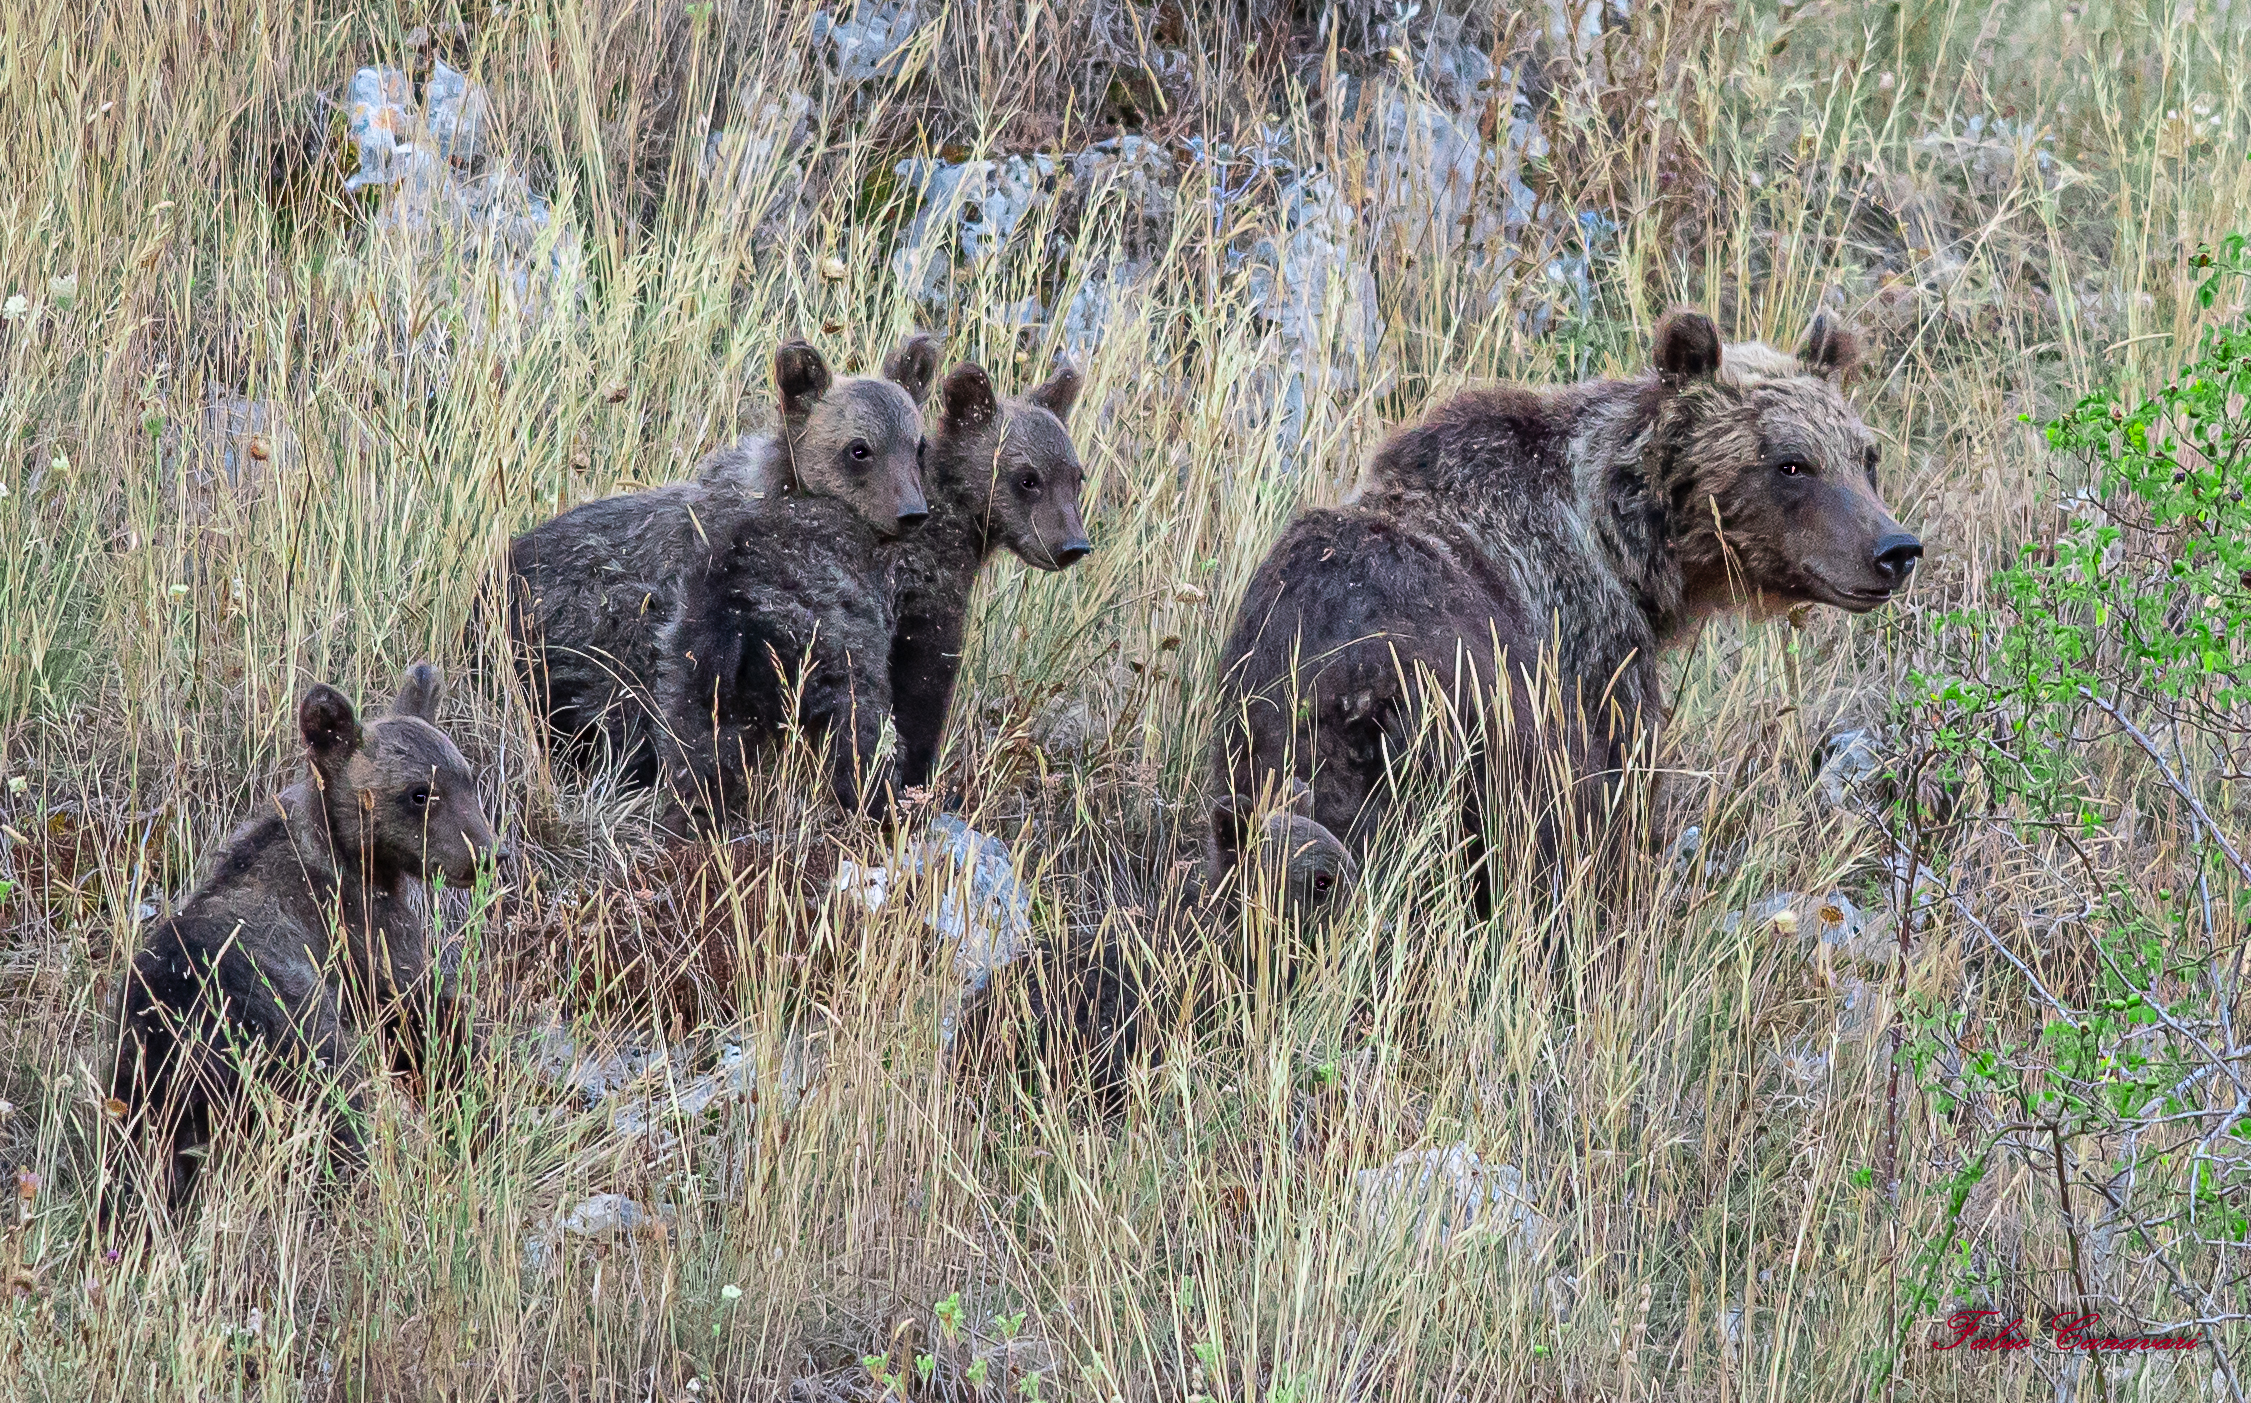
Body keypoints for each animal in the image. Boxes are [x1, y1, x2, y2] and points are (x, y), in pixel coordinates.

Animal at [107, 664, 502, 1213]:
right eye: (419, 793)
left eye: (468, 778)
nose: (488, 854)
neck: (353, 857)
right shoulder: (364, 934)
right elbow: (423, 1015)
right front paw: (479, 1105)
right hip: (284, 1028)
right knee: (338, 1107)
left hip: (141, 1086)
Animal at [1211, 309, 1922, 879]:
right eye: (1791, 463)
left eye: (1866, 456)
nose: (1895, 549)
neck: (1626, 542)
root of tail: (1353, 685)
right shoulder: (1592, 653)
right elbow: (1613, 799)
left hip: (1263, 726)